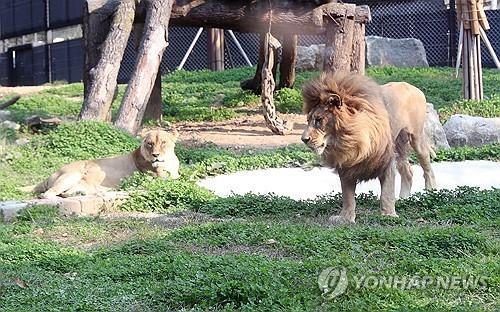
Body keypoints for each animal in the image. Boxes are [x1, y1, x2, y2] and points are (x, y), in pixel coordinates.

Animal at [23, 128, 182, 199]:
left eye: (163, 142)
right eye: (150, 144)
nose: (155, 155)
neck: (169, 162)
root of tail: (49, 176)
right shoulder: (154, 178)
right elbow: (174, 179)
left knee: (64, 193)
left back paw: (85, 192)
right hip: (73, 174)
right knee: (47, 194)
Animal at [302, 72, 436, 224]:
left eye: (319, 120)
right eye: (308, 120)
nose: (304, 139)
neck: (347, 141)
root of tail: (411, 86)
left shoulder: (387, 160)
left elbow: (387, 192)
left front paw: (388, 215)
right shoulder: (346, 166)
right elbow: (347, 196)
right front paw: (345, 218)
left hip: (417, 138)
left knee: (427, 167)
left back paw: (430, 192)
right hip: (399, 145)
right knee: (408, 171)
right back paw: (403, 199)